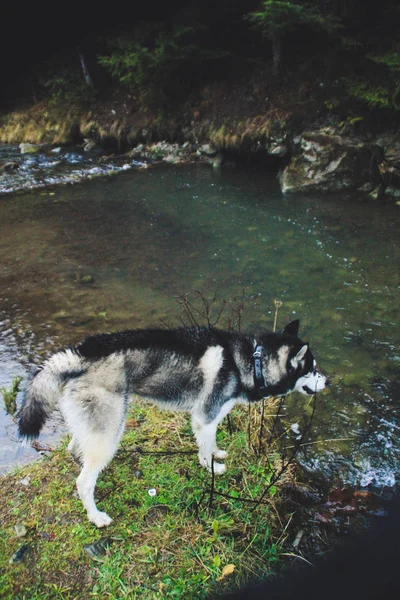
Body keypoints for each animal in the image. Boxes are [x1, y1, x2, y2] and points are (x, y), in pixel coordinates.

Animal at [17, 322, 326, 528]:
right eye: (312, 369)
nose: (328, 381)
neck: (251, 360)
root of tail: (80, 353)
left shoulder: (210, 418)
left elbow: (211, 443)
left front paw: (217, 453)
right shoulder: (205, 417)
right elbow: (205, 451)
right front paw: (212, 467)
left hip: (94, 428)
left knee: (75, 448)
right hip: (110, 431)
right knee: (83, 482)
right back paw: (96, 516)